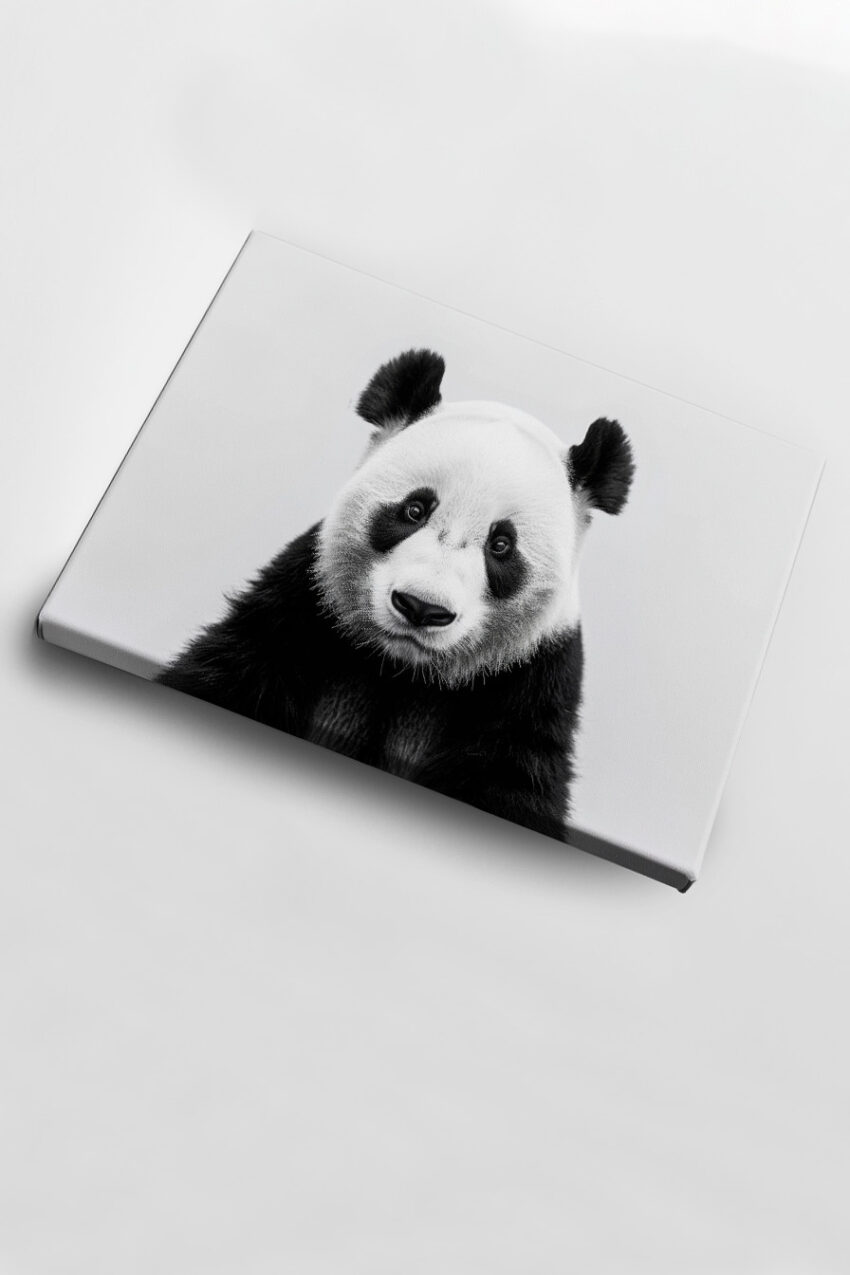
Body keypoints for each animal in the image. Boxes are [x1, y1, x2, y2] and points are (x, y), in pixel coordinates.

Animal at [157, 348, 634, 841]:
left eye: (502, 545)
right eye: (414, 509)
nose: (422, 607)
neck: (401, 672)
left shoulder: (529, 684)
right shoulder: (295, 612)